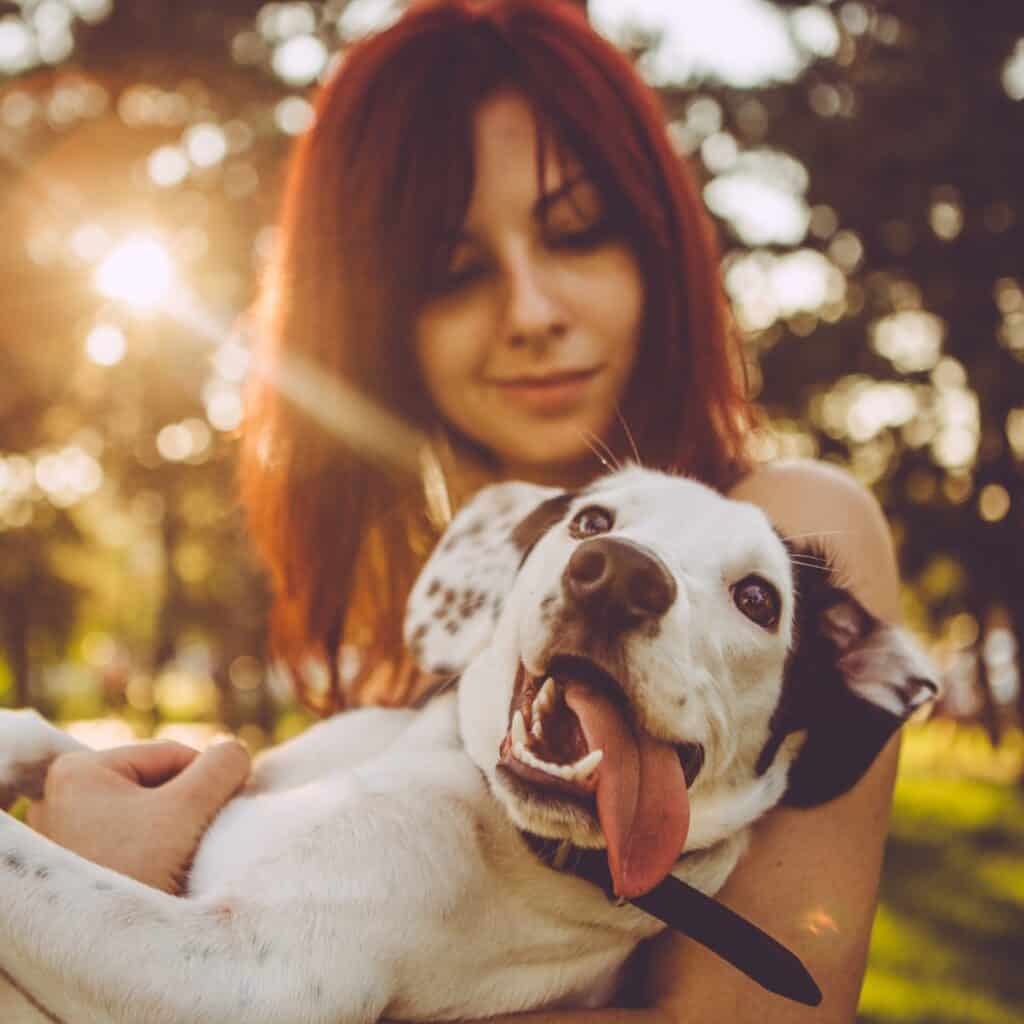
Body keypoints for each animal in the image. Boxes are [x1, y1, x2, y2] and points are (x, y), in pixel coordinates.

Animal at [0, 468, 933, 1019]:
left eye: (758, 600)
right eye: (592, 520)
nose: (618, 572)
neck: (454, 772)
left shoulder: (249, 973)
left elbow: (24, 860)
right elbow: (51, 735)